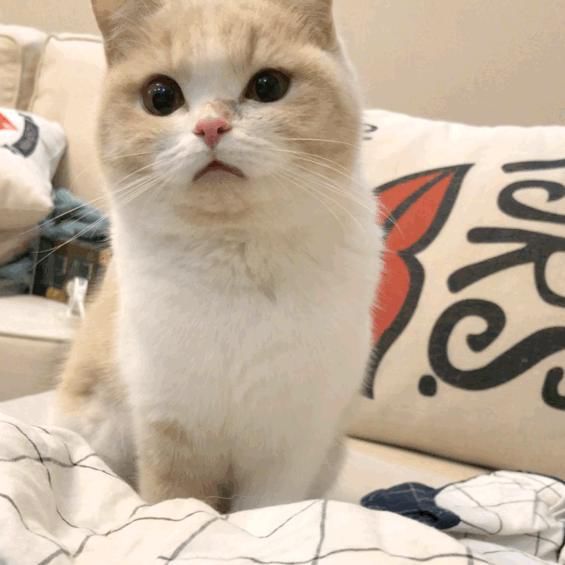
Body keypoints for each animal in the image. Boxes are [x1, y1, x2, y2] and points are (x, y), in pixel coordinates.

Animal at [52, 0, 382, 513]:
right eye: (160, 97)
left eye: (267, 86)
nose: (211, 127)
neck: (234, 254)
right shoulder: (171, 427)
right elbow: (175, 500)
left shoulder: (289, 447)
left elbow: (261, 512)